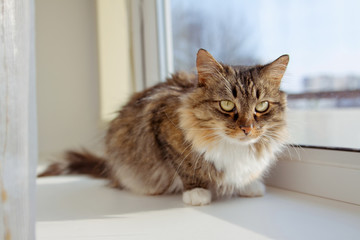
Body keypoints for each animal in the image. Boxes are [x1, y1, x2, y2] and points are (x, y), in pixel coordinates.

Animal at [40, 49, 290, 206]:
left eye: (262, 106)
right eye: (227, 104)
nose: (247, 128)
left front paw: (249, 186)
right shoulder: (163, 128)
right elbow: (186, 168)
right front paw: (197, 193)